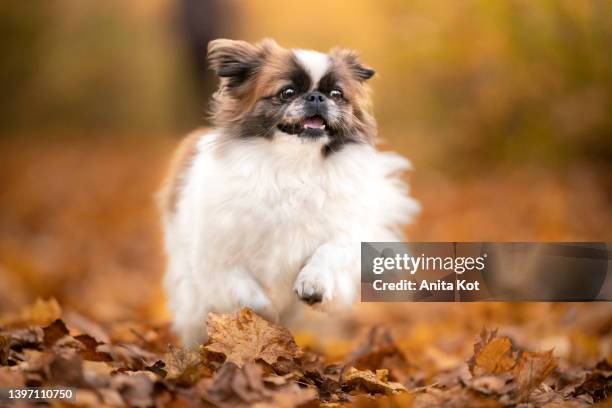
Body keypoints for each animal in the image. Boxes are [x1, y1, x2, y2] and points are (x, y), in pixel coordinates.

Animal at [157, 38, 420, 346]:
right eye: (288, 92)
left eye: (336, 94)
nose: (317, 97)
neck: (296, 166)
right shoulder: (218, 257)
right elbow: (248, 294)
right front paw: (262, 317)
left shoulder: (345, 234)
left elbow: (328, 252)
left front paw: (314, 283)